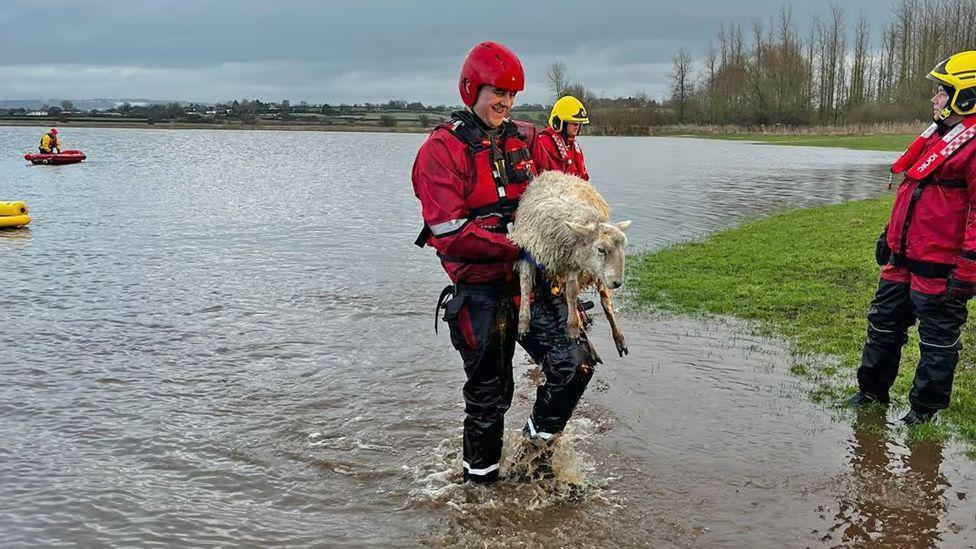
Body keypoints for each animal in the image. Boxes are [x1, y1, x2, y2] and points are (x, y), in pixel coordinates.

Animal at [510, 169, 632, 358]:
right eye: (601, 249)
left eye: (623, 248)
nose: (617, 283)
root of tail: (557, 172)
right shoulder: (527, 252)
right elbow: (525, 285)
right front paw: (523, 324)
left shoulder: (573, 265)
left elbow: (572, 293)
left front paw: (573, 329)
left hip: (598, 274)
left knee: (606, 302)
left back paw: (618, 338)